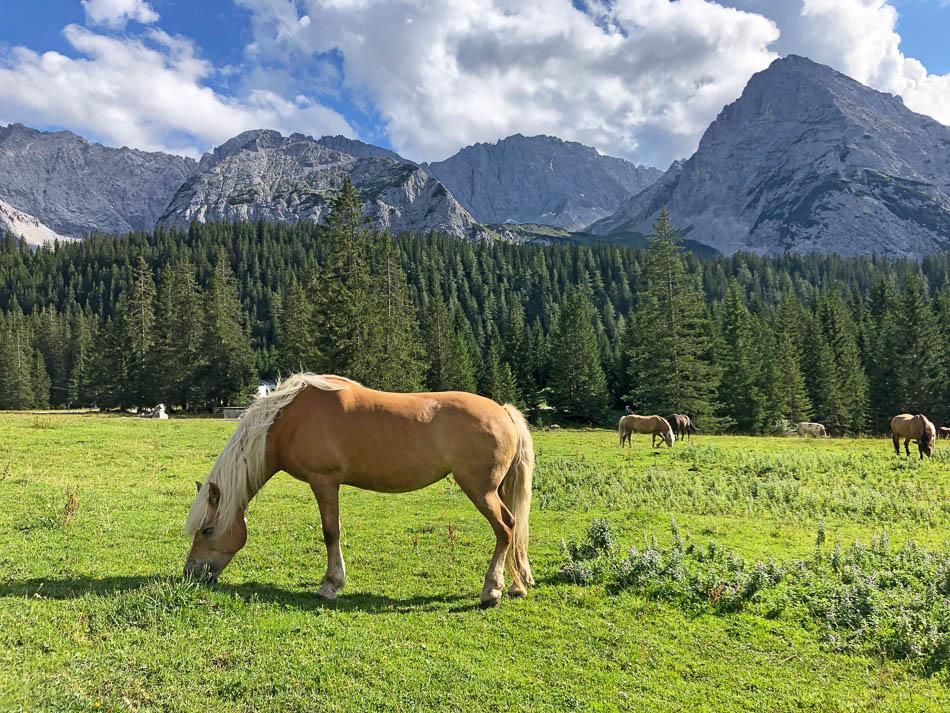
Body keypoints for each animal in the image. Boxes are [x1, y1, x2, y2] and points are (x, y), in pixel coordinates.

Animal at [184, 374, 534, 608]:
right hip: (494, 490)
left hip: (480, 490)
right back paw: (517, 585)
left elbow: (330, 532)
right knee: (513, 529)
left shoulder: (324, 481)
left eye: (207, 530)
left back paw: (491, 590)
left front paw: (330, 585)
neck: (287, 419)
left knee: (506, 529)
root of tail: (504, 411)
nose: (190, 573)